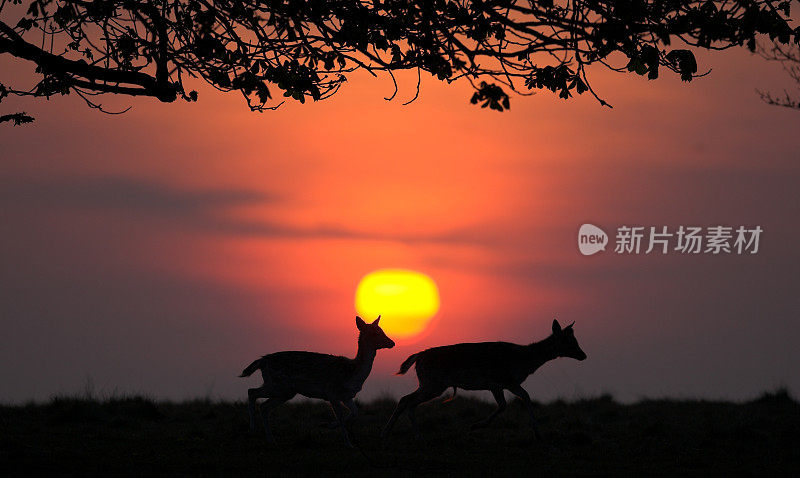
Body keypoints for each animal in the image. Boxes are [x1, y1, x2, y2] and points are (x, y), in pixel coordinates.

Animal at [241, 316, 396, 446]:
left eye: (382, 330)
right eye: (375, 333)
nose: (392, 342)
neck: (352, 373)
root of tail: (262, 361)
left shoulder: (346, 396)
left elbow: (355, 412)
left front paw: (328, 425)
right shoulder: (332, 393)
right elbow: (341, 416)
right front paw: (348, 443)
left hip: (285, 391)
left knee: (264, 406)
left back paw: (271, 439)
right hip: (278, 385)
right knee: (252, 392)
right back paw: (252, 429)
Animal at [382, 320, 588, 438]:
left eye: (575, 339)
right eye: (568, 341)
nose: (583, 355)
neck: (524, 361)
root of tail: (418, 356)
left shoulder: (499, 385)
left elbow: (505, 404)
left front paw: (475, 426)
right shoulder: (506, 381)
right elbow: (524, 397)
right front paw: (537, 432)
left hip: (430, 384)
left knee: (407, 400)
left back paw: (402, 432)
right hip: (433, 383)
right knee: (407, 400)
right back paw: (397, 433)